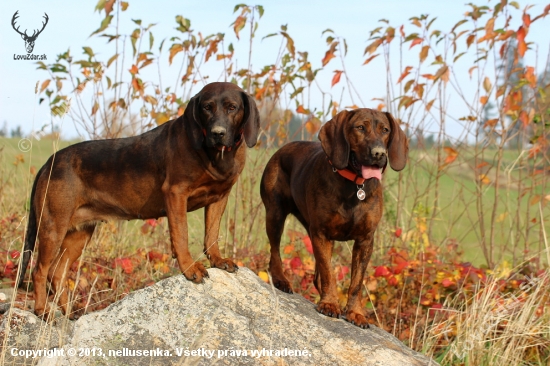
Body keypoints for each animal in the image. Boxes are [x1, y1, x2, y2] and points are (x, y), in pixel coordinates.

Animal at [16, 81, 260, 318]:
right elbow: (181, 235)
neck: (215, 154)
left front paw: (218, 260)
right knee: (39, 271)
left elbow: (212, 235)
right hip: (52, 227)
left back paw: (70, 312)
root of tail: (49, 162)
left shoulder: (219, 198)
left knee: (57, 272)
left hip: (79, 233)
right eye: (207, 107)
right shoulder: (176, 193)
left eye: (232, 107)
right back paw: (41, 310)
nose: (218, 132)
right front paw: (189, 267)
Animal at [260, 108, 410, 328]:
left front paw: (355, 313)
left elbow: (356, 282)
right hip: (275, 213)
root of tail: (282, 149)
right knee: (275, 251)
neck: (355, 184)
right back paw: (281, 279)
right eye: (360, 127)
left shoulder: (365, 240)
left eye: (385, 130)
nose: (379, 153)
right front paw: (330, 304)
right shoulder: (322, 234)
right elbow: (329, 273)